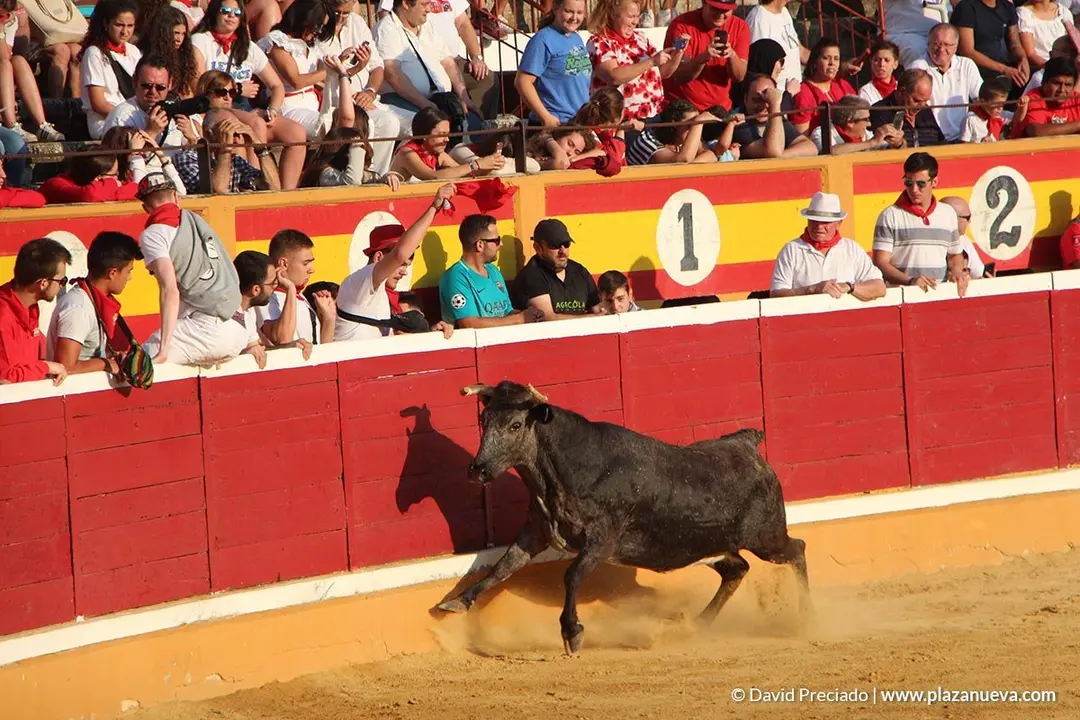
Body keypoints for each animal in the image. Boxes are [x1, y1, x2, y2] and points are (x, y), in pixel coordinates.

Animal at [435, 380, 811, 655]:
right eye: (483, 421)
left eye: (515, 424)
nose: (479, 470)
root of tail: (746, 444)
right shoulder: (535, 531)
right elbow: (502, 567)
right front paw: (456, 602)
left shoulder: (601, 542)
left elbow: (571, 576)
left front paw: (572, 633)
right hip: (709, 546)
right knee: (737, 569)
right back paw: (699, 624)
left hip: (767, 539)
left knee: (797, 549)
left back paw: (807, 617)